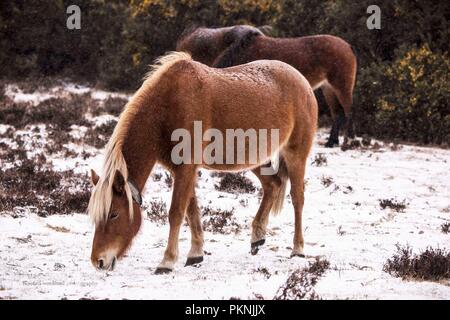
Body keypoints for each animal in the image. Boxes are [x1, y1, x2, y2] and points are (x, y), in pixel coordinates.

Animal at [88, 51, 318, 274]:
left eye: (114, 214)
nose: (98, 261)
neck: (168, 106)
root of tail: (303, 82)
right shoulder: (180, 169)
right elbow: (191, 210)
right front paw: (195, 253)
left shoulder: (186, 168)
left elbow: (176, 212)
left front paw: (167, 261)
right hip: (252, 159)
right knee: (272, 184)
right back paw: (257, 237)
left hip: (295, 154)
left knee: (297, 198)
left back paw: (298, 248)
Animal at [178, 25, 356, 148]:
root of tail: (348, 47)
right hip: (328, 89)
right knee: (338, 114)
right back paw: (331, 142)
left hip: (342, 86)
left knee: (349, 111)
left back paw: (348, 142)